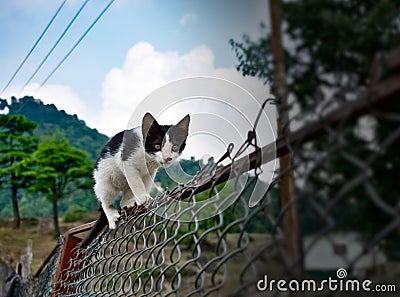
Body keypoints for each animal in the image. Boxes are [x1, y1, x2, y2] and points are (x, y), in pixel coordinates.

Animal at [80, 112, 190, 246]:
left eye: (174, 147)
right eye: (157, 145)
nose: (167, 158)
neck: (147, 157)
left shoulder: (150, 171)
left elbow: (146, 183)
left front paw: (143, 199)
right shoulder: (127, 162)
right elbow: (137, 183)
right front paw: (144, 198)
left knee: (126, 193)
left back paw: (127, 203)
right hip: (104, 181)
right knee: (106, 200)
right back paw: (112, 215)